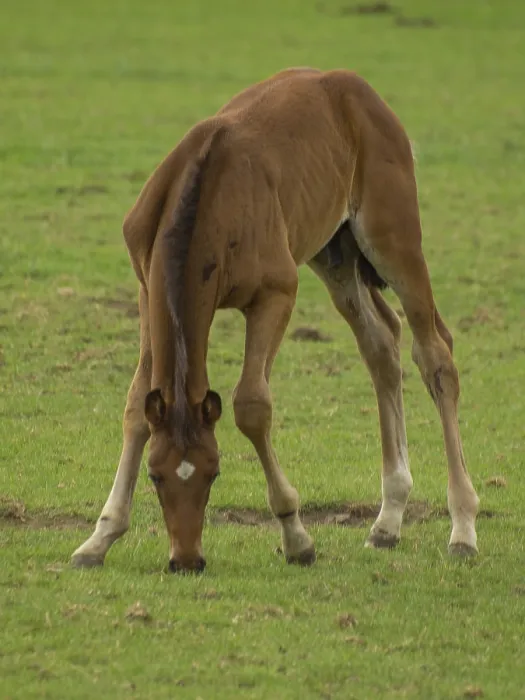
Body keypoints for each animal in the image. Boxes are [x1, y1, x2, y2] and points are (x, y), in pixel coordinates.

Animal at [71, 67, 479, 573]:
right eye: (155, 475)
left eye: (214, 472)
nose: (186, 560)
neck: (207, 193)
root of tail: (356, 88)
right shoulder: (148, 290)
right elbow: (135, 407)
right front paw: (99, 538)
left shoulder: (276, 295)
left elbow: (251, 405)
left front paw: (296, 536)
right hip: (336, 255)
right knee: (381, 345)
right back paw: (387, 521)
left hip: (393, 239)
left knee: (435, 354)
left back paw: (463, 528)